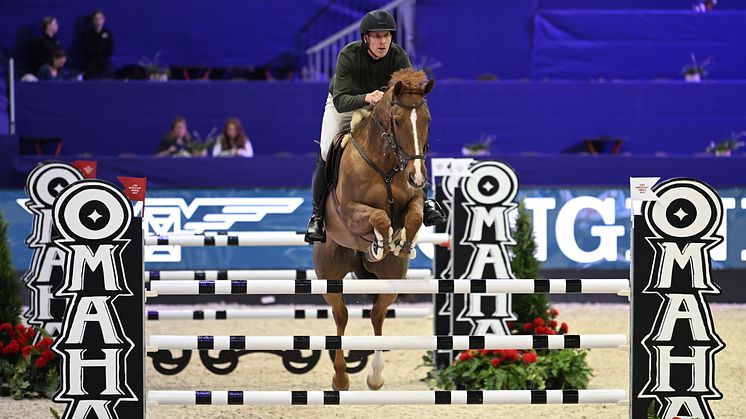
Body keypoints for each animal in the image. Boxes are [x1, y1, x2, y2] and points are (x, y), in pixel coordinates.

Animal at [312, 67, 430, 392]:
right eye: (397, 120)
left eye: (427, 119)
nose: (417, 177)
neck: (387, 164)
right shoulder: (349, 212)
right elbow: (378, 218)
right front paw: (380, 242)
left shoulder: (414, 200)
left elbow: (413, 218)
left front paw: (402, 244)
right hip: (329, 272)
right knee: (340, 315)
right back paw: (340, 378)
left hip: (392, 277)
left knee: (378, 313)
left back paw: (375, 376)